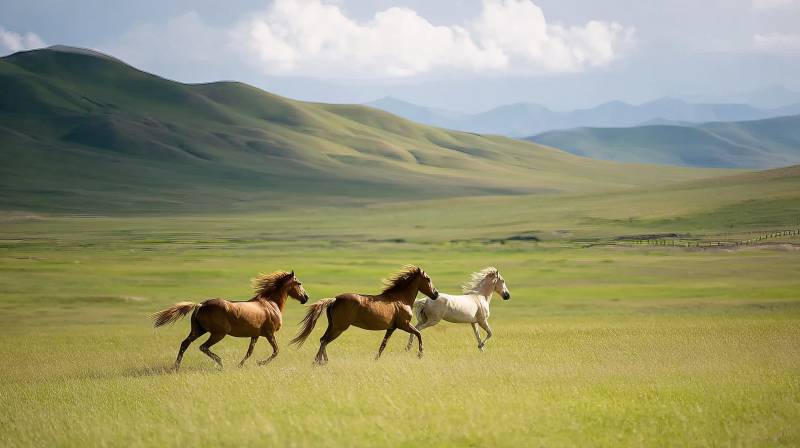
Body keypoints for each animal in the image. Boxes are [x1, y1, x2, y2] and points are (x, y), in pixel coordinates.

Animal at [150, 270, 309, 371]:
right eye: (299, 283)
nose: (306, 297)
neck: (270, 303)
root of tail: (200, 305)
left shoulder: (255, 335)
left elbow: (249, 352)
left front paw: (240, 365)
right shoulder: (269, 334)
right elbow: (276, 351)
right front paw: (260, 363)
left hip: (198, 330)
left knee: (185, 344)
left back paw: (176, 367)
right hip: (218, 334)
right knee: (203, 347)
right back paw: (221, 363)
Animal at [291, 265, 438, 364]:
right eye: (428, 278)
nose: (435, 294)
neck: (400, 299)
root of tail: (335, 299)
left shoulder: (391, 328)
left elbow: (383, 345)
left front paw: (376, 359)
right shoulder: (404, 325)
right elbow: (418, 334)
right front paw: (420, 354)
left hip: (332, 326)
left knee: (323, 340)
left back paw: (319, 362)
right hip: (339, 327)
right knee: (325, 341)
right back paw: (321, 362)